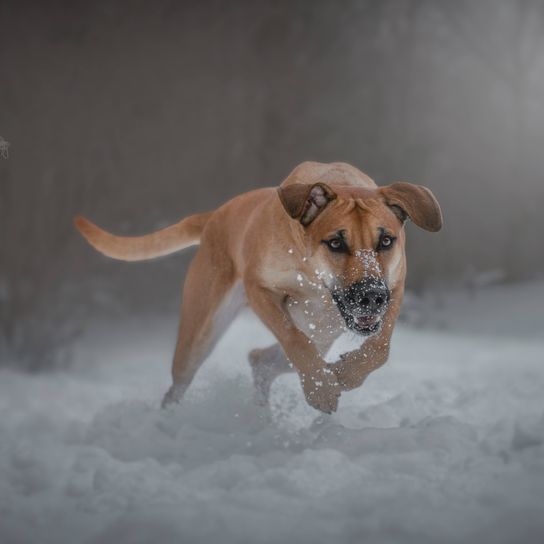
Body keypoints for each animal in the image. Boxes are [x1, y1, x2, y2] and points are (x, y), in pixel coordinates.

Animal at [75, 162, 442, 412]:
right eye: (336, 243)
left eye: (386, 241)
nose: (370, 296)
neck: (311, 270)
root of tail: (216, 215)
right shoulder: (261, 290)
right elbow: (294, 340)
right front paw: (321, 388)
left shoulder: (394, 287)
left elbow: (379, 348)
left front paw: (344, 375)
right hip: (200, 332)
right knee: (180, 383)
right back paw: (169, 422)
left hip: (322, 328)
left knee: (261, 361)